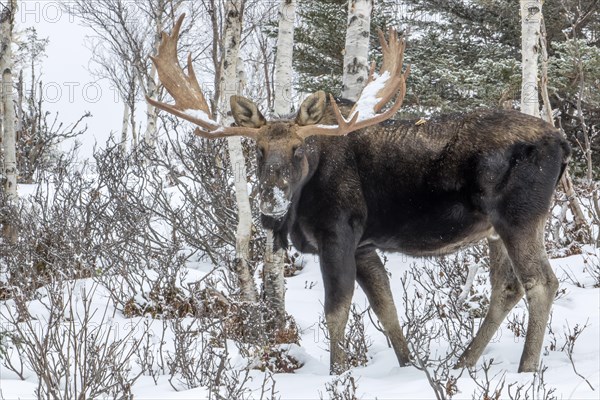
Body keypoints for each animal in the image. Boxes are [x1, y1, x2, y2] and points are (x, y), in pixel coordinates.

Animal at [148, 14, 568, 374]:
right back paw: (463, 363)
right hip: (494, 230)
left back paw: (526, 368)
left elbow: (336, 310)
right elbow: (387, 310)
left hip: (519, 217)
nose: (270, 198)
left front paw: (337, 373)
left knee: (542, 283)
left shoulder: (338, 232)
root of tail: (562, 144)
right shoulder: (365, 245)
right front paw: (409, 367)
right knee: (507, 287)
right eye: (259, 149)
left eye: (298, 149)